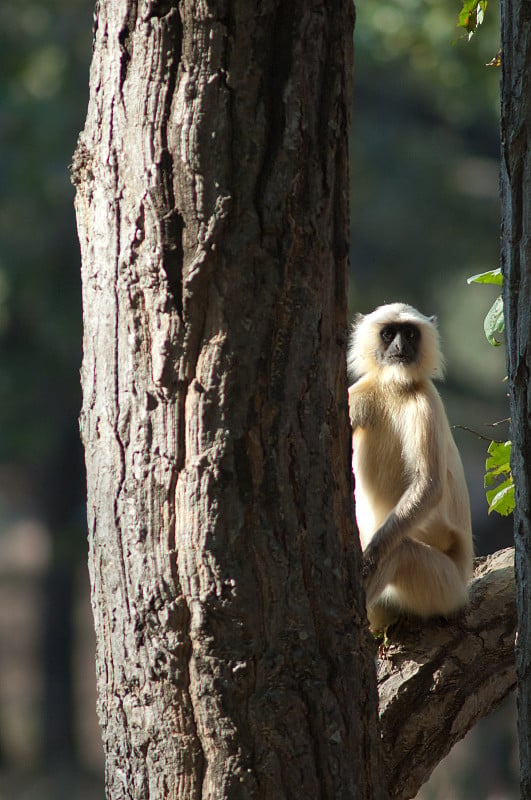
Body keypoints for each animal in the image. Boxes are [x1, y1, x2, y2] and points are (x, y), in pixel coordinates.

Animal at [350, 302, 474, 632]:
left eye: (409, 334)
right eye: (389, 334)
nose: (400, 347)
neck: (395, 388)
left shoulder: (423, 401)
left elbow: (429, 485)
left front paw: (368, 559)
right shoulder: (365, 389)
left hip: (444, 587)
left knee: (400, 551)